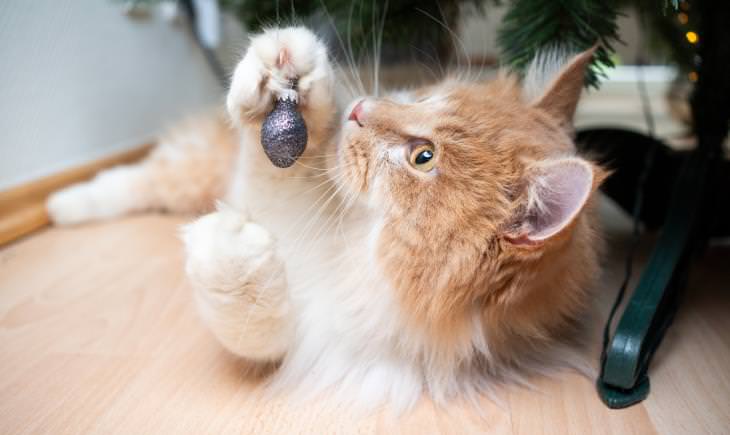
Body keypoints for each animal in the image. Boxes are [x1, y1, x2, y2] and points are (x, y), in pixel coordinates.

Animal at [47, 27, 604, 412]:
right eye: (426, 97)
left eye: (423, 157)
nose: (358, 108)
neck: (350, 242)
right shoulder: (279, 197)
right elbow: (271, 171)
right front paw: (289, 70)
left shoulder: (311, 329)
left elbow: (250, 314)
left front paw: (228, 249)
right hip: (192, 172)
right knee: (138, 177)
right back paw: (62, 203)